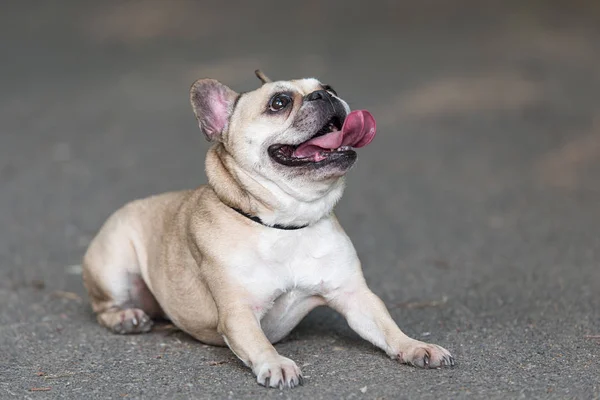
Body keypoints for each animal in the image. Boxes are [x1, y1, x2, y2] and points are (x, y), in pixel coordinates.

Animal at [81, 70, 454, 390]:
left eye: (329, 87)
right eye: (279, 102)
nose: (324, 95)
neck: (287, 225)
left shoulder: (355, 296)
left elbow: (387, 326)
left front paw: (415, 346)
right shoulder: (238, 312)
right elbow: (259, 342)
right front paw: (276, 363)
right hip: (115, 264)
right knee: (103, 306)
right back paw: (126, 317)